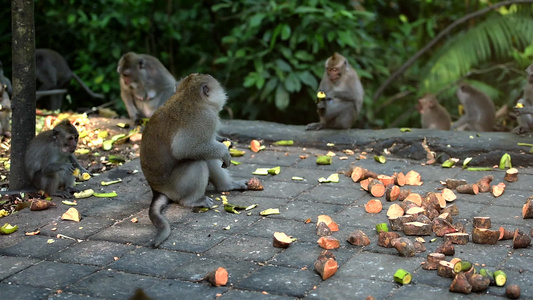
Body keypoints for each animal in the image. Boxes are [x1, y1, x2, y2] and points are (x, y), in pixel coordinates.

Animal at [139, 73, 247, 248]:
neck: (188, 96)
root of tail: (156, 189)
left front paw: (223, 140)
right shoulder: (206, 118)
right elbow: (184, 148)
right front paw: (223, 150)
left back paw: (227, 186)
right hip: (176, 186)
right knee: (199, 161)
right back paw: (193, 200)